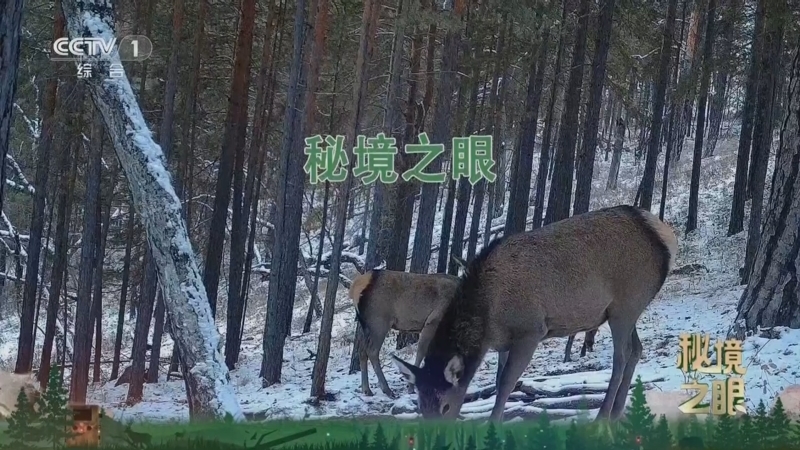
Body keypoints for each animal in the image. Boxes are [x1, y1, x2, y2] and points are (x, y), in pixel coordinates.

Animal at [350, 267, 505, 399]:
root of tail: (355, 286)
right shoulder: (432, 321)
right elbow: (422, 353)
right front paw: (411, 387)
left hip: (364, 324)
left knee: (361, 351)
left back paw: (366, 389)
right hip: (379, 321)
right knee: (372, 351)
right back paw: (387, 390)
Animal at [391, 205, 677, 422]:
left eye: (446, 406)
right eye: (421, 407)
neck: (488, 319)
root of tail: (665, 236)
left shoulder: (531, 329)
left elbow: (507, 382)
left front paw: (493, 423)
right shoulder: (503, 342)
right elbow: (498, 379)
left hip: (625, 304)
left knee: (622, 355)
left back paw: (602, 416)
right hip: (626, 310)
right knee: (637, 349)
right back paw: (617, 414)